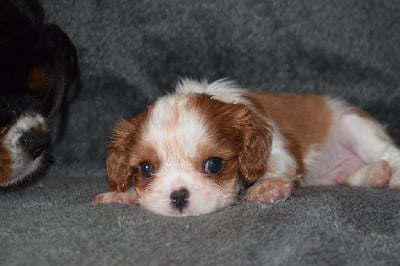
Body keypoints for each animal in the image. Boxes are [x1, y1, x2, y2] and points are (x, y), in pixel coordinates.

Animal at [94, 78, 400, 216]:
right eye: (146, 169)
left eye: (214, 164)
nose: (178, 197)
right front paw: (120, 195)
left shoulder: (277, 146)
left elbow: (278, 165)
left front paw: (268, 187)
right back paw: (376, 175)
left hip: (353, 125)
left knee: (389, 153)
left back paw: (391, 174)